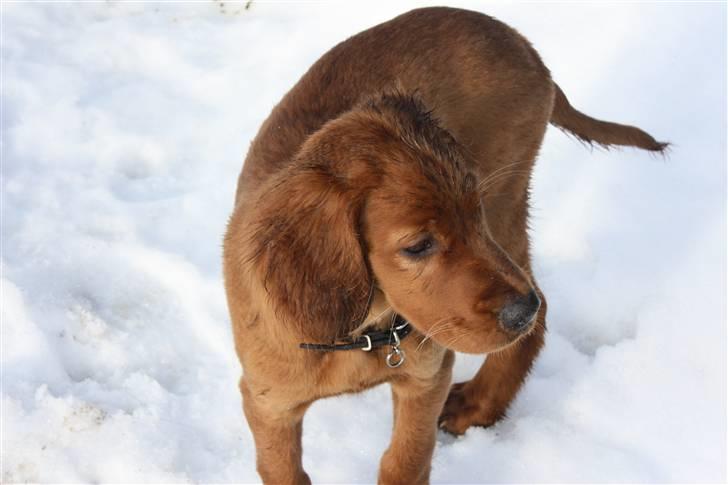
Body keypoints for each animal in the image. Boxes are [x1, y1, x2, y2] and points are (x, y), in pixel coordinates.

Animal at [223, 5, 664, 482]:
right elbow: (284, 470)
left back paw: (478, 404)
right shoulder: (268, 404)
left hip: (507, 204)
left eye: (472, 212)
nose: (519, 313)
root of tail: (518, 40)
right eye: (418, 246)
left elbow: (404, 461)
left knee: (543, 305)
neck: (361, 334)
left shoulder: (428, 376)